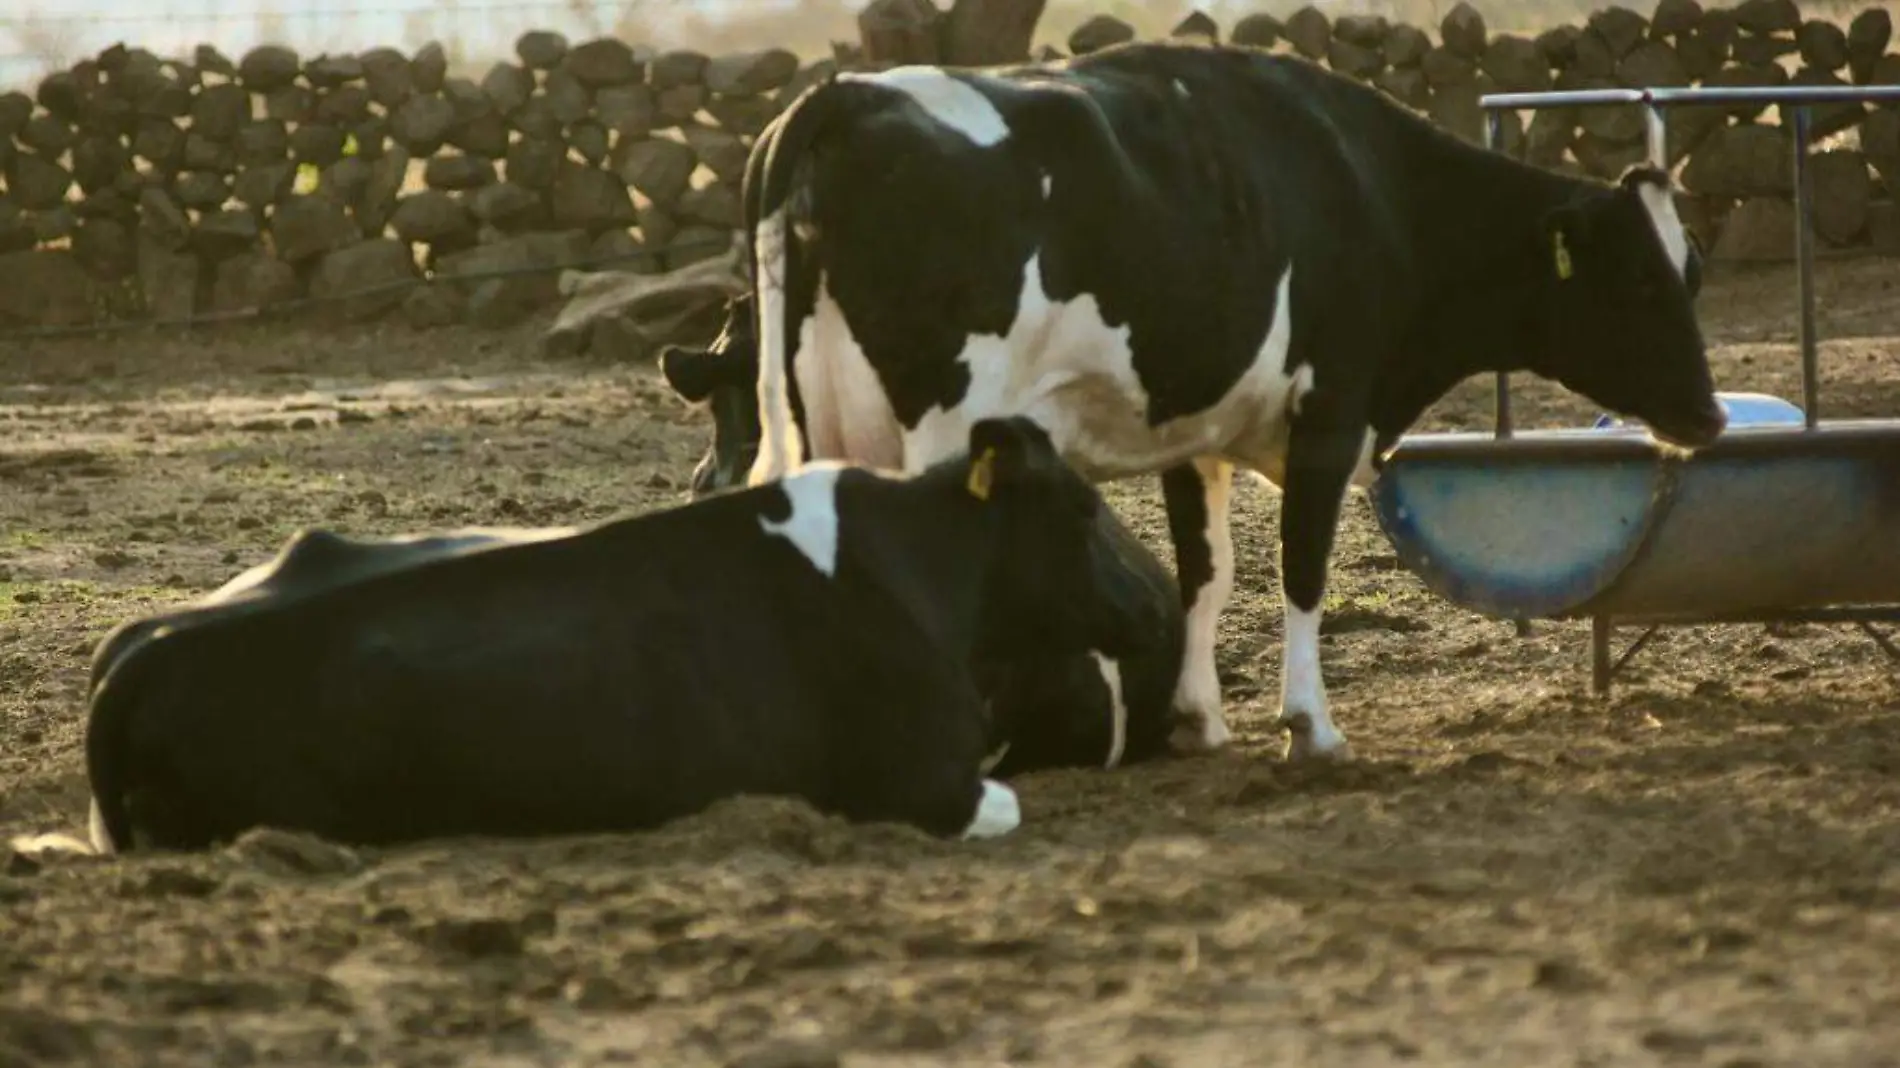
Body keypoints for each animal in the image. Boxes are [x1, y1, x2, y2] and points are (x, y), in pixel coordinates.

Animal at [733, 39, 1732, 756]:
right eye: (1639, 281)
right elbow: (1302, 567)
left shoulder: (1193, 432)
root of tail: (847, 93)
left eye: (1692, 273)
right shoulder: (1330, 414)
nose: (1712, 416)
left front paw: (1202, 721)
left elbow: (1206, 576)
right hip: (940, 422)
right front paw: (1311, 727)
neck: (1374, 192)